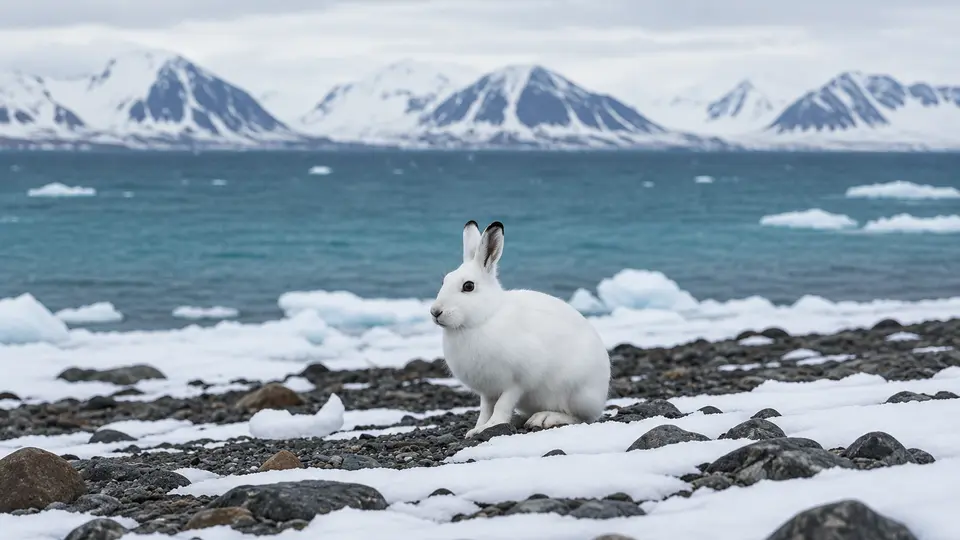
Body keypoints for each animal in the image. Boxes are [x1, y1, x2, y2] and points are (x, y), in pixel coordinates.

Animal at [430, 220, 611, 438]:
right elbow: (485, 409)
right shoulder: (487, 391)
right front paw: (476, 429)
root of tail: (601, 394)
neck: (484, 318)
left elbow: (502, 405)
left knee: (581, 417)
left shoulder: (517, 382)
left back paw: (545, 418)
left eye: (468, 286)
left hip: (576, 392)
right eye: (444, 281)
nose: (435, 312)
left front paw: (491, 426)